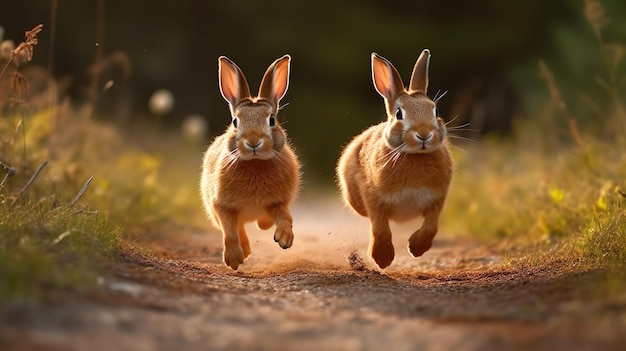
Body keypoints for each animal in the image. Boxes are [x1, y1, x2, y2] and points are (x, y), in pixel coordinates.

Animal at [199, 55, 298, 270]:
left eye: (272, 120)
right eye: (235, 122)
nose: (253, 142)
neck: (254, 162)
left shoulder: (278, 202)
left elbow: (285, 217)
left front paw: (284, 239)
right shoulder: (221, 205)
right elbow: (230, 230)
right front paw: (234, 259)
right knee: (237, 228)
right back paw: (244, 252)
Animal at [336, 49, 454, 270]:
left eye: (435, 111)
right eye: (399, 113)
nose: (424, 134)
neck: (414, 156)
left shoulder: (437, 198)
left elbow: (431, 227)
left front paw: (415, 248)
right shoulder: (374, 198)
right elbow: (380, 227)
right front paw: (382, 259)